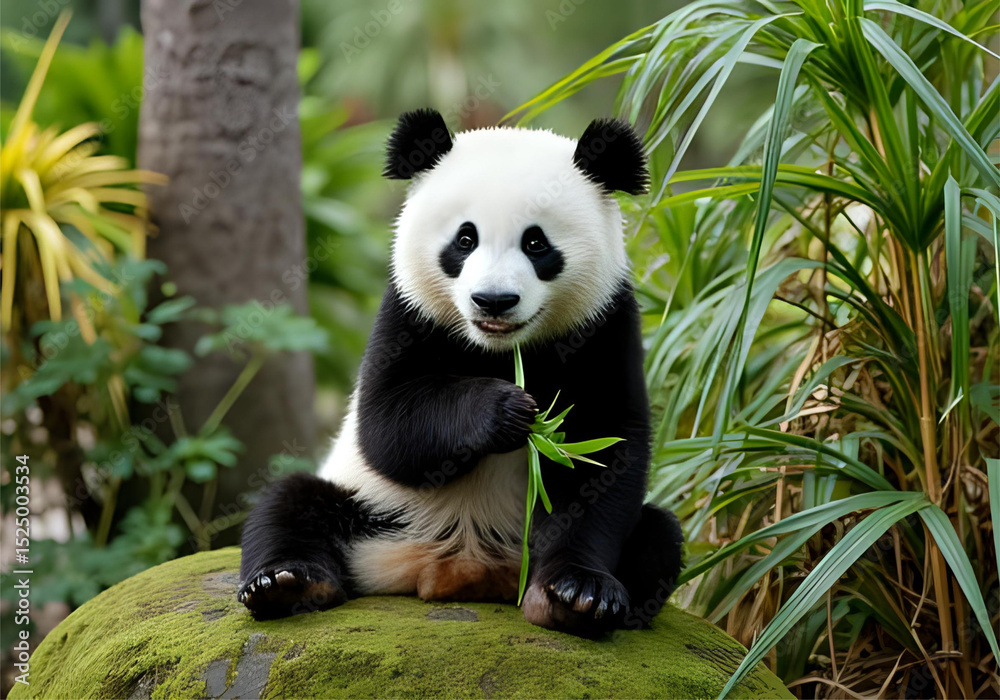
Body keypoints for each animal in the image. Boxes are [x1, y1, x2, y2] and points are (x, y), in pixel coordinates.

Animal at [238, 109, 684, 636]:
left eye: (536, 243)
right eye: (465, 239)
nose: (493, 300)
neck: (498, 349)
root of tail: (451, 568)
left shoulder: (605, 322)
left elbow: (604, 453)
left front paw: (580, 593)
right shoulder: (408, 311)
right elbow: (387, 424)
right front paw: (508, 411)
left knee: (659, 532)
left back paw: (566, 606)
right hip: (372, 505)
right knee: (288, 504)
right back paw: (288, 586)